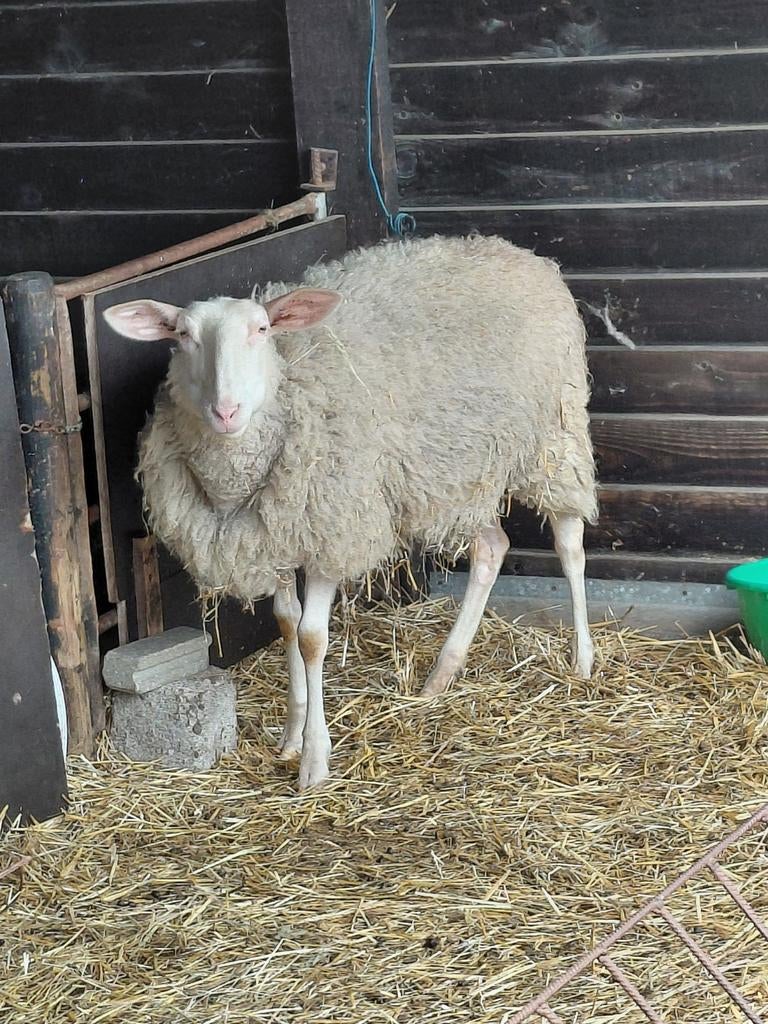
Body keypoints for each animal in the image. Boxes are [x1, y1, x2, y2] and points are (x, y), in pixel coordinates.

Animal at [103, 234, 597, 790]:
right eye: (183, 336)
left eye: (262, 329)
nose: (225, 411)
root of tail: (517, 253)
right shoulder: (275, 532)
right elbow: (286, 622)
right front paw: (291, 736)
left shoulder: (332, 527)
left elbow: (313, 638)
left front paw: (315, 761)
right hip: (461, 469)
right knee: (493, 548)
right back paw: (441, 674)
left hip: (554, 434)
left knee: (569, 543)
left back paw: (582, 659)